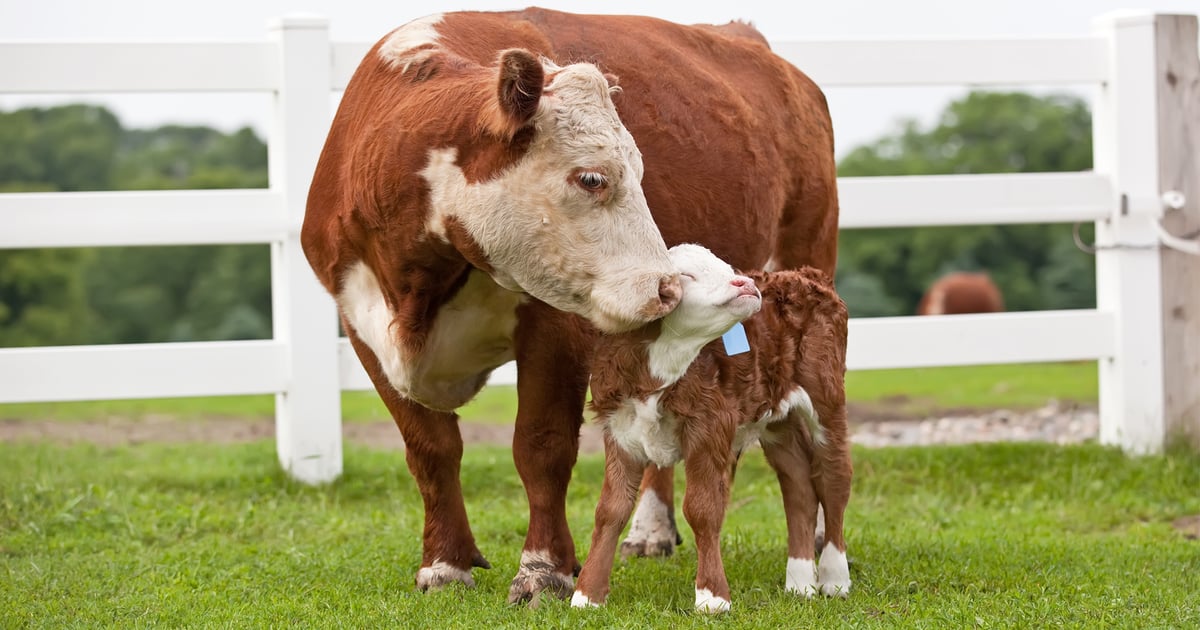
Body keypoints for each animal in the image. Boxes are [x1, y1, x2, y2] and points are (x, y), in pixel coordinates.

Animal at [575, 244, 852, 612]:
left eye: (727, 268)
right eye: (686, 275)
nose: (745, 283)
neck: (658, 370)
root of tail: (803, 275)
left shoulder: (708, 427)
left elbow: (702, 508)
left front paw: (712, 597)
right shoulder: (619, 430)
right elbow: (610, 509)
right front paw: (587, 595)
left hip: (826, 398)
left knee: (834, 479)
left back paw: (834, 579)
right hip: (778, 419)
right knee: (799, 485)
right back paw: (800, 583)